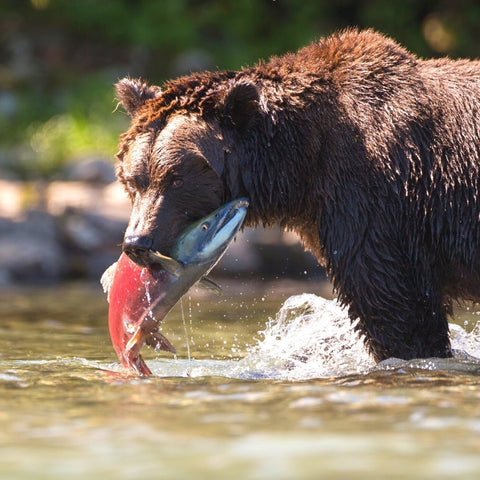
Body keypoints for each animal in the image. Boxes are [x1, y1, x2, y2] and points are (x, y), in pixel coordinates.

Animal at [115, 28, 480, 362]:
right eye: (134, 180)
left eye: (176, 179)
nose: (137, 243)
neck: (301, 164)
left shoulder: (380, 202)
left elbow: (397, 308)